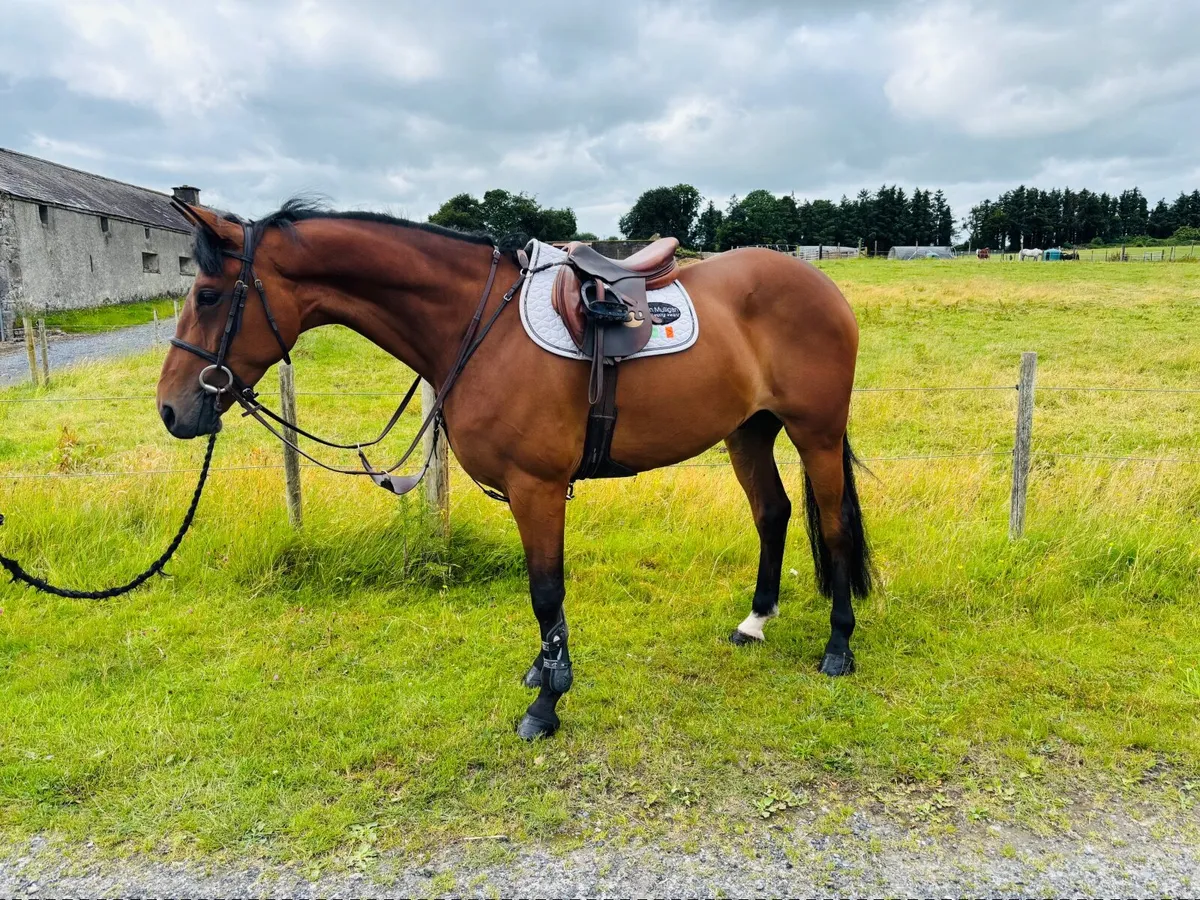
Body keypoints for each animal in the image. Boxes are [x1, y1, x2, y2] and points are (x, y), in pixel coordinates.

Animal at [156, 199, 872, 741]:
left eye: (210, 295)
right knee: (773, 513)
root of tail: (821, 286)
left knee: (835, 524)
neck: (476, 327)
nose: (171, 408)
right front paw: (542, 674)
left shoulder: (538, 488)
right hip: (749, 431)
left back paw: (838, 648)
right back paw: (756, 622)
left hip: (815, 433)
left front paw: (547, 702)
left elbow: (545, 593)